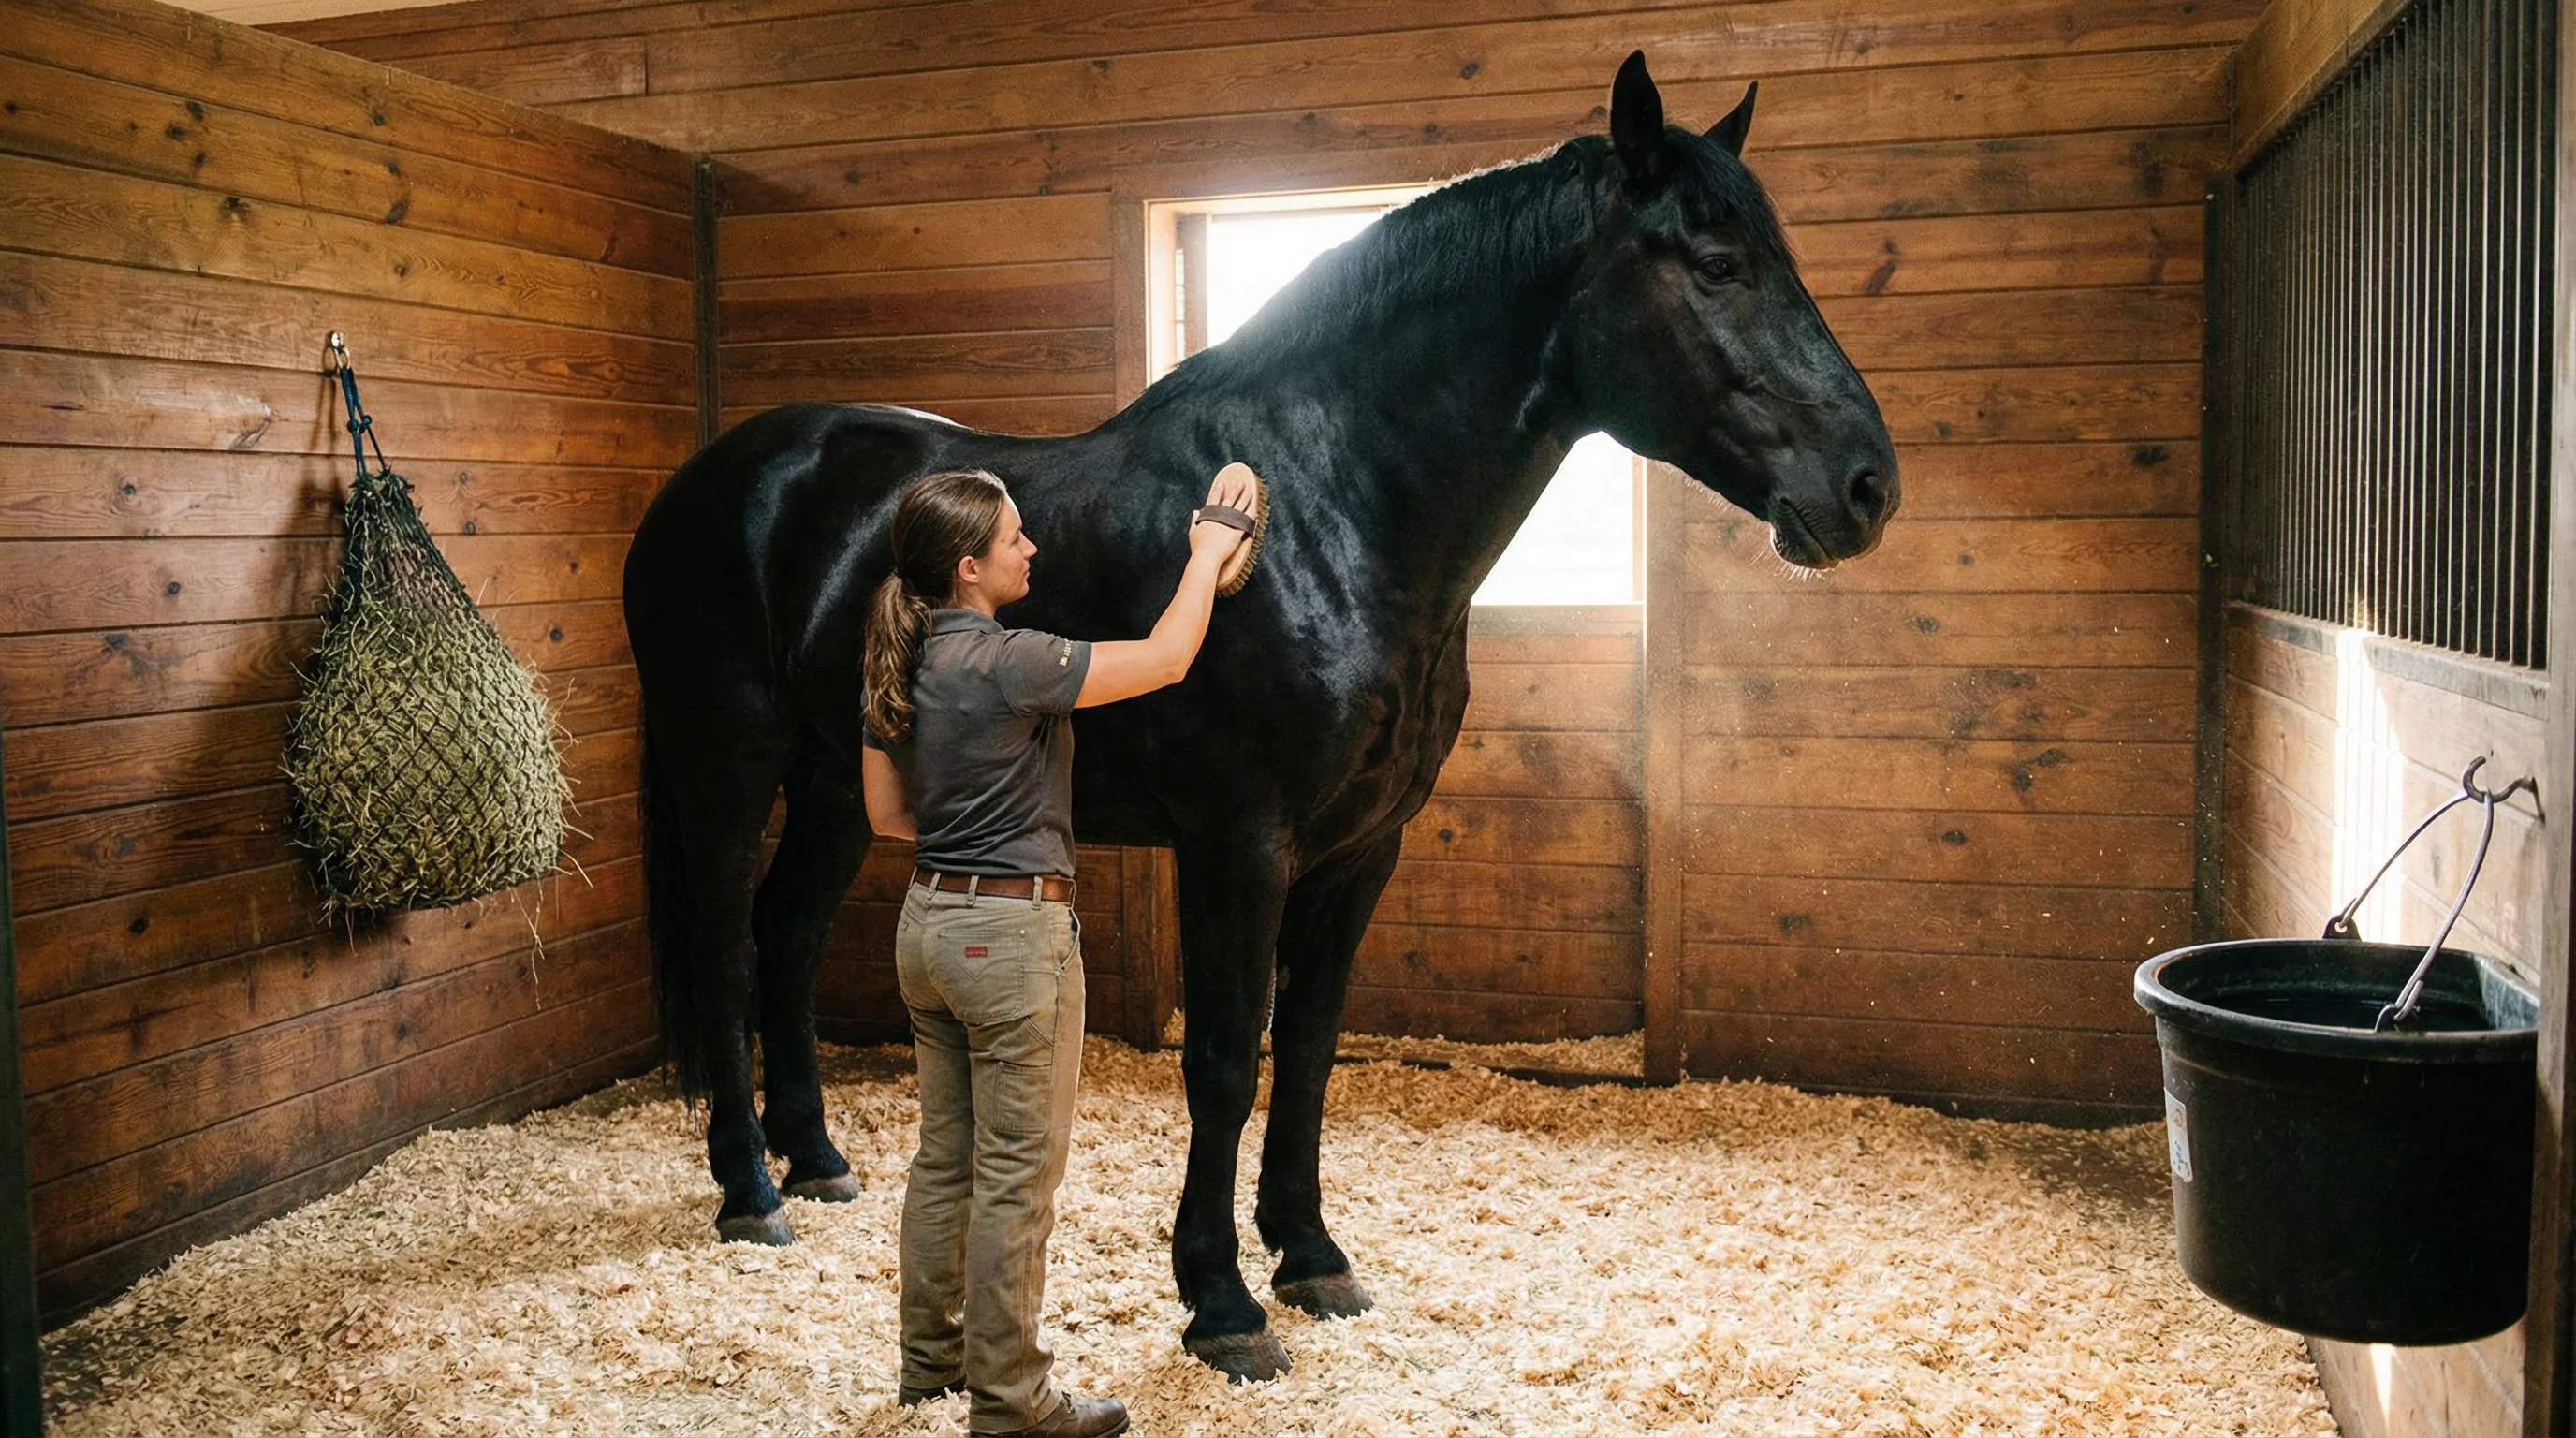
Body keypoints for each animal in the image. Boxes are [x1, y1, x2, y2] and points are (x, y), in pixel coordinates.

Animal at [622, 50, 1897, 1380]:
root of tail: (714, 478)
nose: (1868, 487)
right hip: (728, 760)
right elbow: (1228, 1060)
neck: (1322, 513)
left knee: (787, 936)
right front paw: (1222, 1302)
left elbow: (1313, 1049)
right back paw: (748, 1191)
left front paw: (1312, 1256)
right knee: (726, 944)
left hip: (838, 774)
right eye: (1718, 264)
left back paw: (817, 1161)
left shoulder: (1358, 850)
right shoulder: (1238, 844)